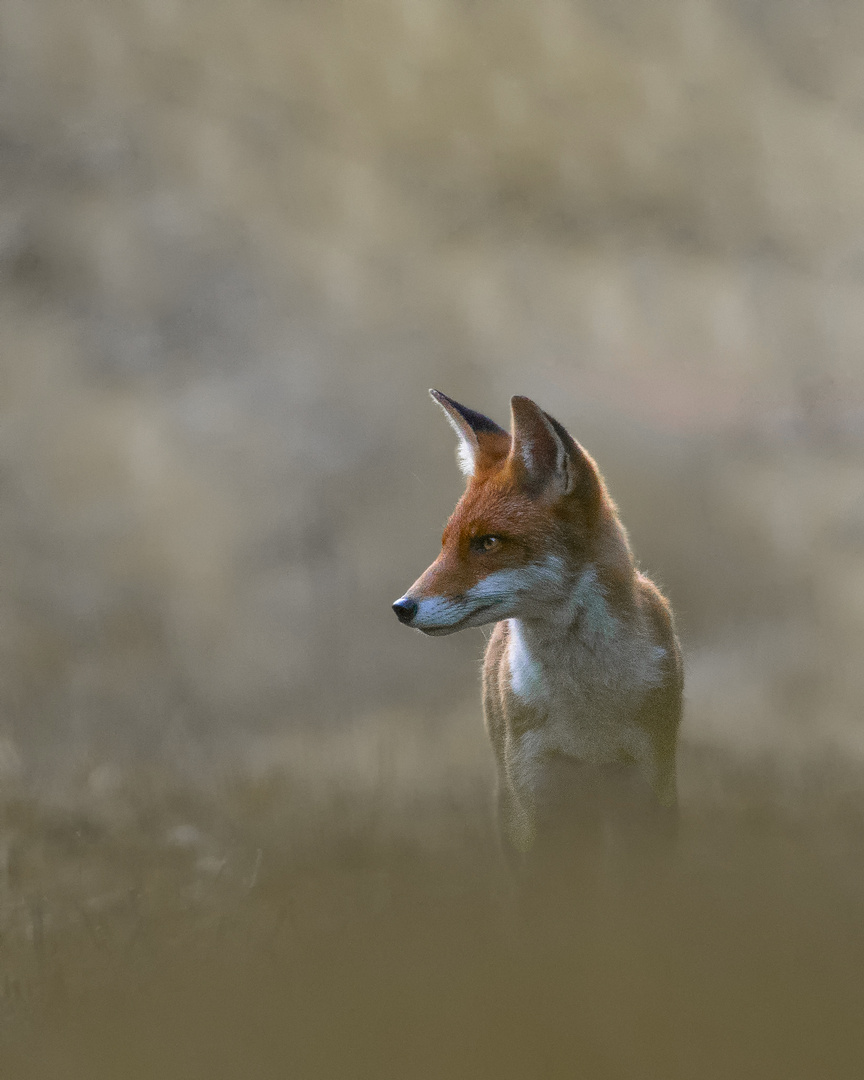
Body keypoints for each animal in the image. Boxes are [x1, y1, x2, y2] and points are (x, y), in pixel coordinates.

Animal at [390, 390, 682, 859]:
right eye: (446, 544)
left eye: (488, 542)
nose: (401, 607)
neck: (586, 703)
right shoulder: (534, 794)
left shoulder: (650, 783)